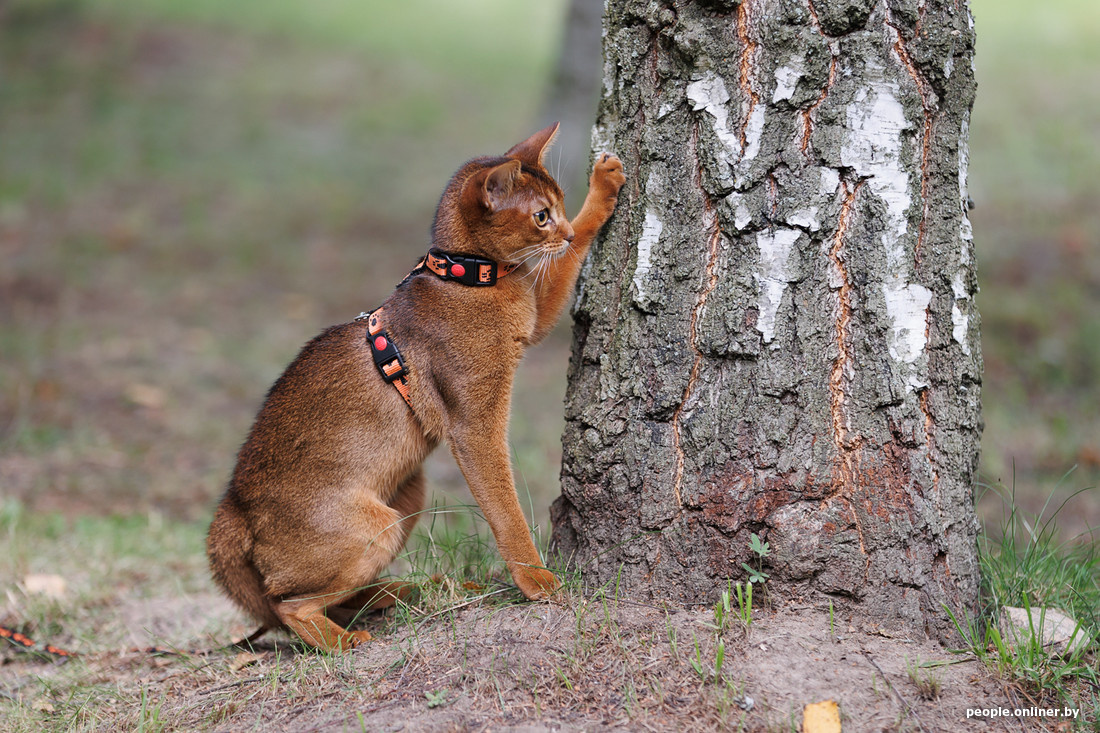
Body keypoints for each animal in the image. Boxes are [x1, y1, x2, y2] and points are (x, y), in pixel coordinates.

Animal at [202, 124, 624, 651]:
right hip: (375, 526)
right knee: (288, 604)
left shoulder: (533, 318)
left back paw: (401, 592)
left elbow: (569, 261)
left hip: (408, 495)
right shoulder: (474, 425)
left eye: (561, 205)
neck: (466, 277)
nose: (561, 232)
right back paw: (347, 640)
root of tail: (233, 508)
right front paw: (536, 580)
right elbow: (504, 507)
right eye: (541, 217)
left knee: (324, 598)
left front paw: (603, 186)